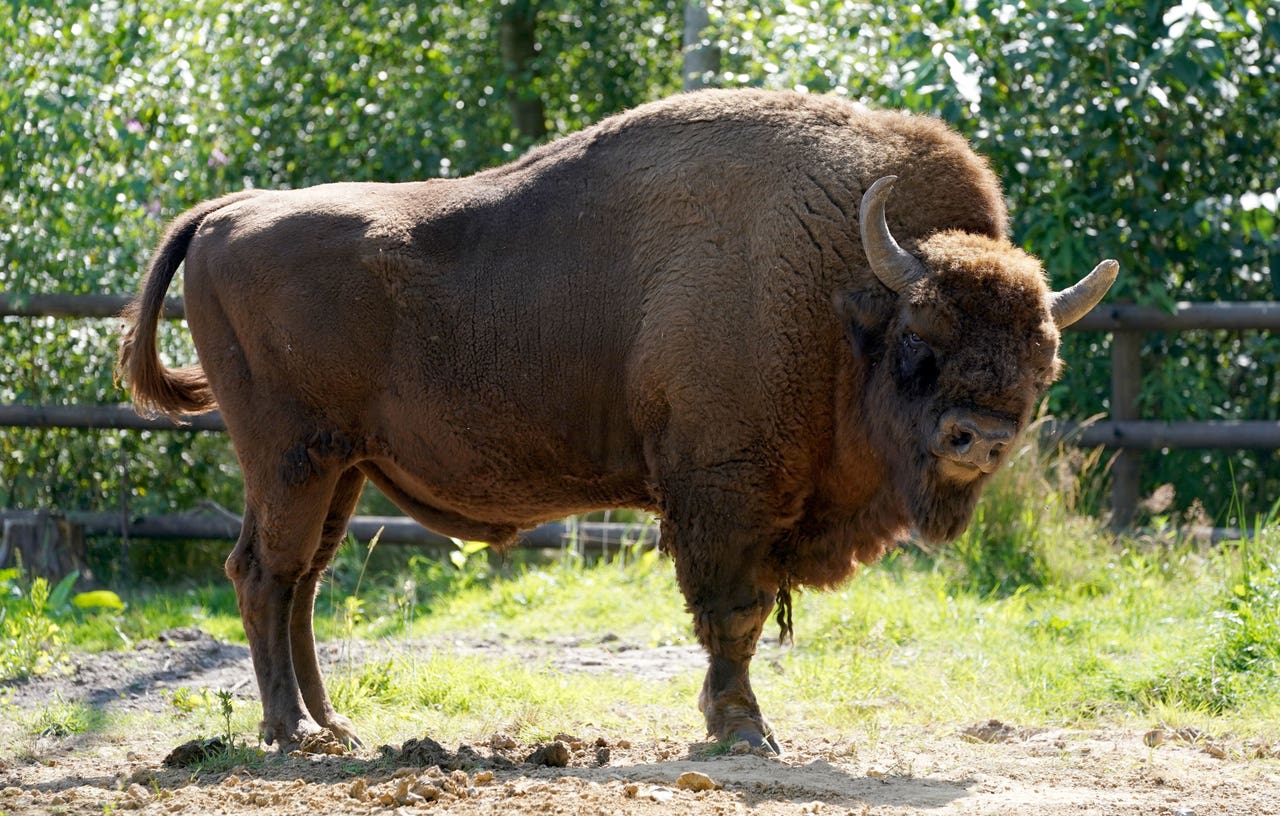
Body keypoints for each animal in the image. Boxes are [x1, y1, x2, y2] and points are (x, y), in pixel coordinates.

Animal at [122, 89, 1121, 757]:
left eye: (1044, 361)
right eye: (920, 337)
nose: (978, 437)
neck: (842, 295)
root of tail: (230, 211)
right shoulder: (724, 492)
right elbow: (734, 611)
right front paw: (742, 731)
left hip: (340, 468)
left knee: (302, 582)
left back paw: (335, 723)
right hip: (289, 457)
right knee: (263, 573)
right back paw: (292, 733)